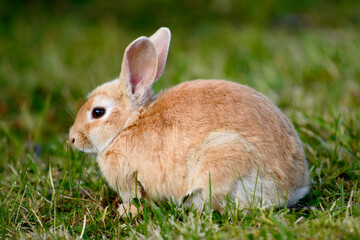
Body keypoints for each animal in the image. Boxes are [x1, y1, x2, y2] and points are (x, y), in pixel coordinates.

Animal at [68, 27, 310, 217]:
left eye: (98, 112)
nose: (71, 139)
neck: (127, 125)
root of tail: (293, 187)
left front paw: (128, 211)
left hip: (221, 158)